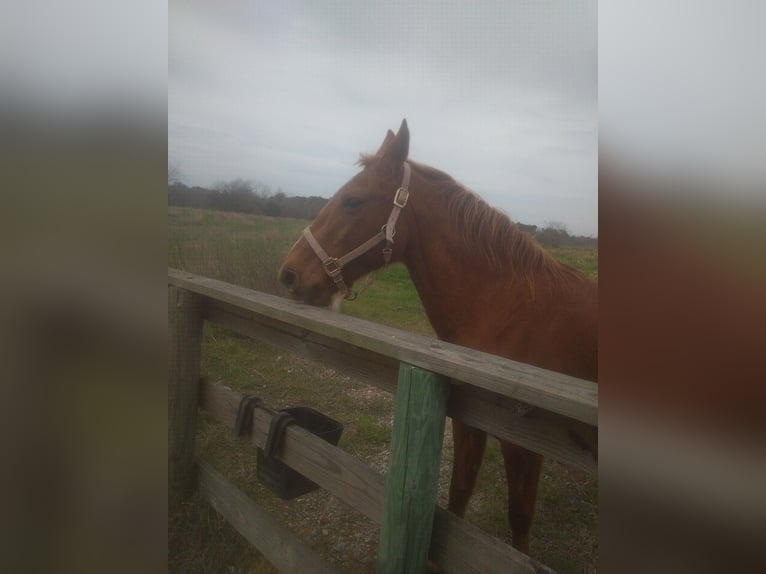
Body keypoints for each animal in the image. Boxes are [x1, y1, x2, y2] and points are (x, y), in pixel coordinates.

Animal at [278, 119, 597, 554]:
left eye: (353, 201)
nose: (288, 274)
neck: (510, 311)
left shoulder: (524, 443)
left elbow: (519, 519)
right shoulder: (468, 420)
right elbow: (458, 491)